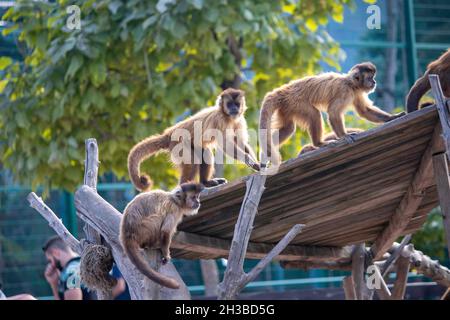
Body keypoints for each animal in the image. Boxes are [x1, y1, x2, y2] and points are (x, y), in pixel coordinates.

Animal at [127, 87, 260, 190]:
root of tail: (168, 134)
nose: (234, 109)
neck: (228, 117)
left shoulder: (239, 120)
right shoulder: (220, 120)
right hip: (177, 144)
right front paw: (248, 160)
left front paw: (257, 164)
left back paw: (205, 182)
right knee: (192, 161)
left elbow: (241, 143)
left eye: (236, 104)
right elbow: (226, 145)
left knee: (204, 152)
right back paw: (184, 186)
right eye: (229, 104)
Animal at [258, 61, 406, 166]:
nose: (374, 82)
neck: (351, 84)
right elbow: (333, 112)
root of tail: (285, 89)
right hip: (296, 102)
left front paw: (393, 117)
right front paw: (344, 136)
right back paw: (319, 143)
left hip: (287, 107)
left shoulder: (356, 92)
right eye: (370, 77)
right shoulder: (344, 91)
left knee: (288, 128)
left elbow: (364, 111)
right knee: (314, 114)